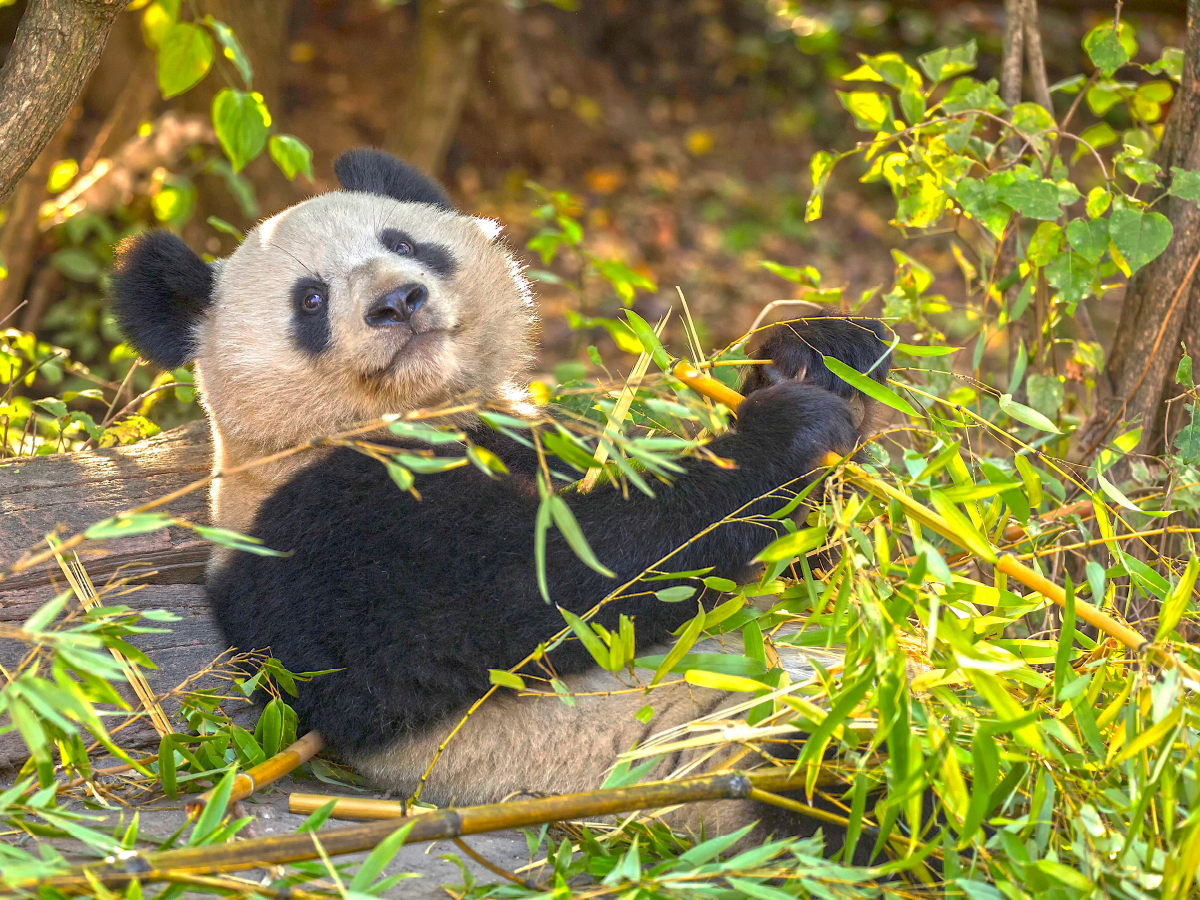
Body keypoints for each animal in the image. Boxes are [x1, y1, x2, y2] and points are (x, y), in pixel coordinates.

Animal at [110, 148, 892, 844]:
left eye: (404, 243)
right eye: (310, 299)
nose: (398, 301)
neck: (419, 415)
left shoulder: (543, 430)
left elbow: (812, 565)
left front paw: (817, 352)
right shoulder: (316, 528)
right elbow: (557, 585)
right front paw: (786, 429)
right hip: (724, 750)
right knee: (848, 777)